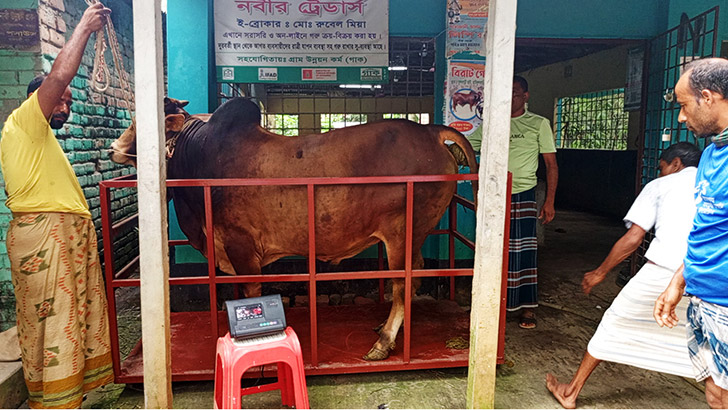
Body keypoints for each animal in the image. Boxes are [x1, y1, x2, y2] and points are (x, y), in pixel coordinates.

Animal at [111, 97, 478, 360]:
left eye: (141, 122)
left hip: (402, 235)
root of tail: (432, 132)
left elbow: (251, 294)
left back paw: (384, 342)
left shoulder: (242, 247)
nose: (115, 148)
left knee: (403, 283)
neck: (198, 154)